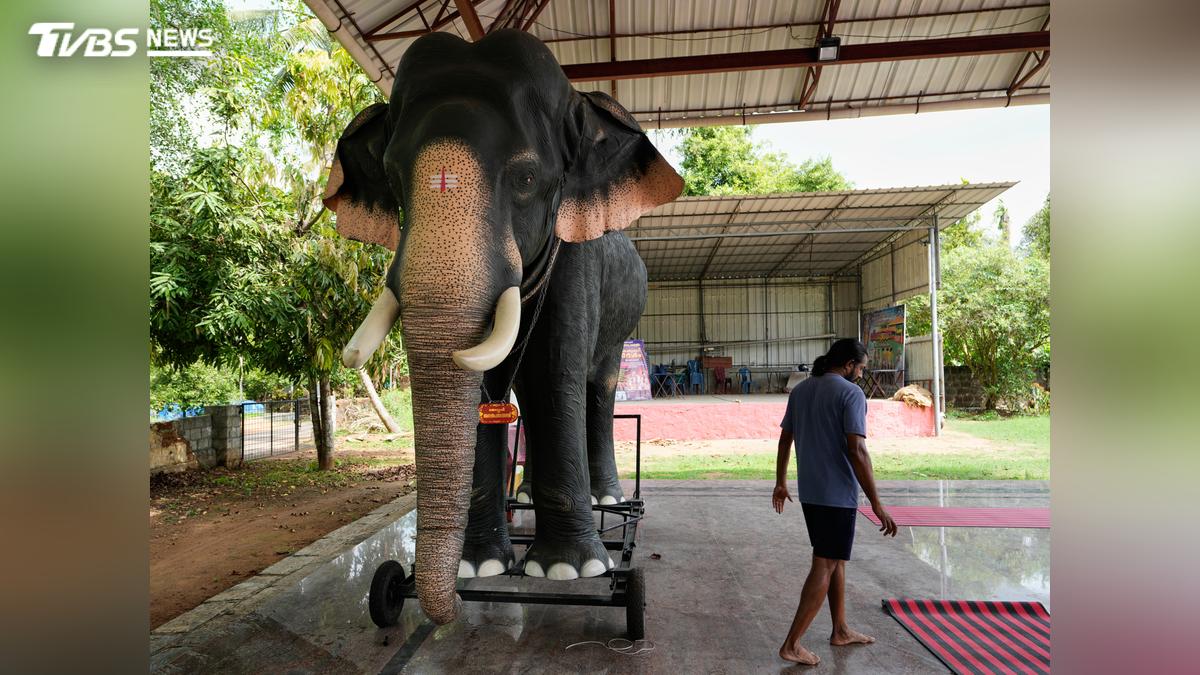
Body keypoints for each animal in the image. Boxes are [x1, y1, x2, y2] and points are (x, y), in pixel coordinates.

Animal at [322, 29, 682, 625]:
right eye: (393, 179)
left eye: (527, 177)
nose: (435, 598)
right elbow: (497, 390)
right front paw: (479, 567)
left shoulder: (575, 257)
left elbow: (555, 372)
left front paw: (570, 570)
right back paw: (530, 499)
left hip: (622, 322)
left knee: (595, 386)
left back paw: (608, 502)